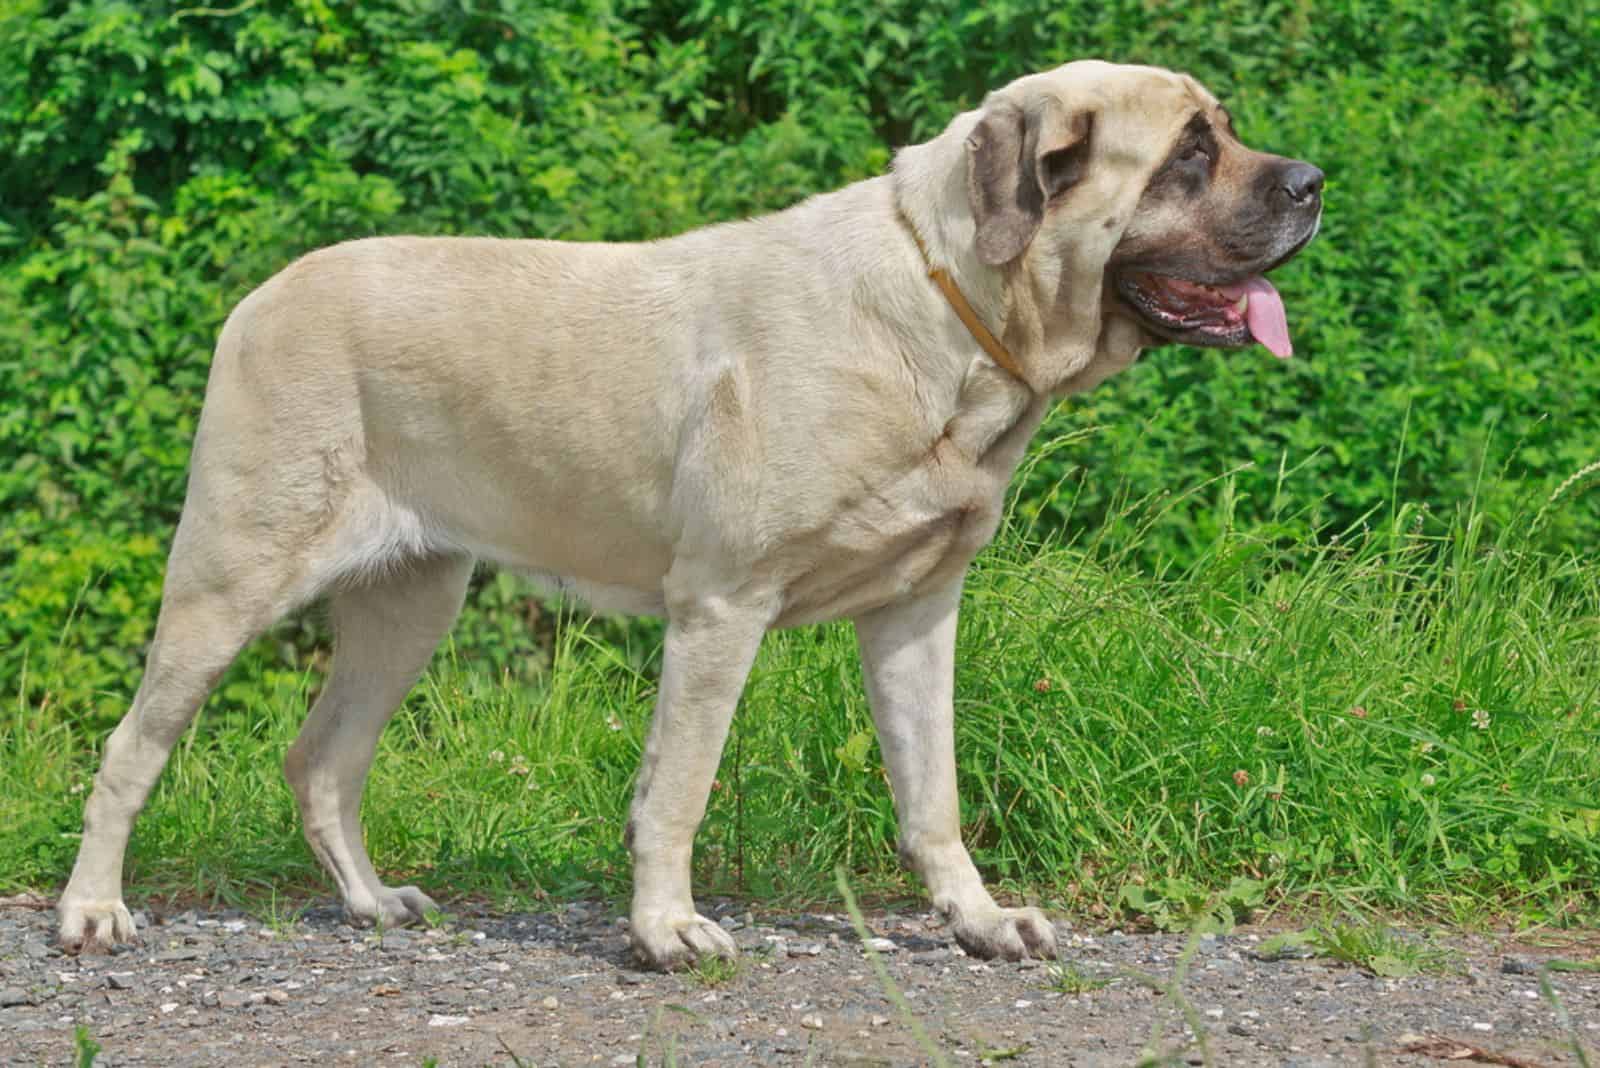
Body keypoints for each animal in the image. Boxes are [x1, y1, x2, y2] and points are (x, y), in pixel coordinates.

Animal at [56, 62, 1318, 972]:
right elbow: (678, 785)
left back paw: (369, 902)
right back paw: (93, 912)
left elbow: (932, 792)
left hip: (411, 603)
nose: (1310, 182)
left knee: (323, 760)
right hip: (230, 574)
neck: (950, 305)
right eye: (1190, 153)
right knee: (131, 749)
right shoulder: (720, 606)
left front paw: (978, 919)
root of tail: (260, 296)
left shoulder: (917, 613)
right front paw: (667, 929)